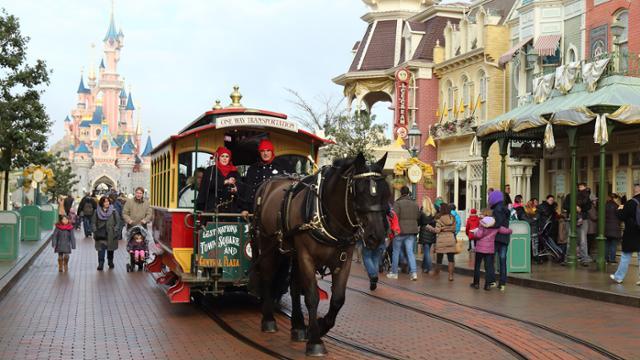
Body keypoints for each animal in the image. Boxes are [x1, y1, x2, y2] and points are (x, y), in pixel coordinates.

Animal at [251, 153, 390, 356]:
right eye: (359, 191)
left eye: (384, 192)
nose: (377, 236)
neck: (327, 215)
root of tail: (267, 184)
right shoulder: (307, 257)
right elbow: (312, 296)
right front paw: (315, 341)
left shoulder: (344, 260)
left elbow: (338, 298)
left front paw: (321, 326)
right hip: (268, 243)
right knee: (267, 276)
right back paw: (268, 320)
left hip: (293, 254)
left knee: (294, 286)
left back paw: (298, 327)